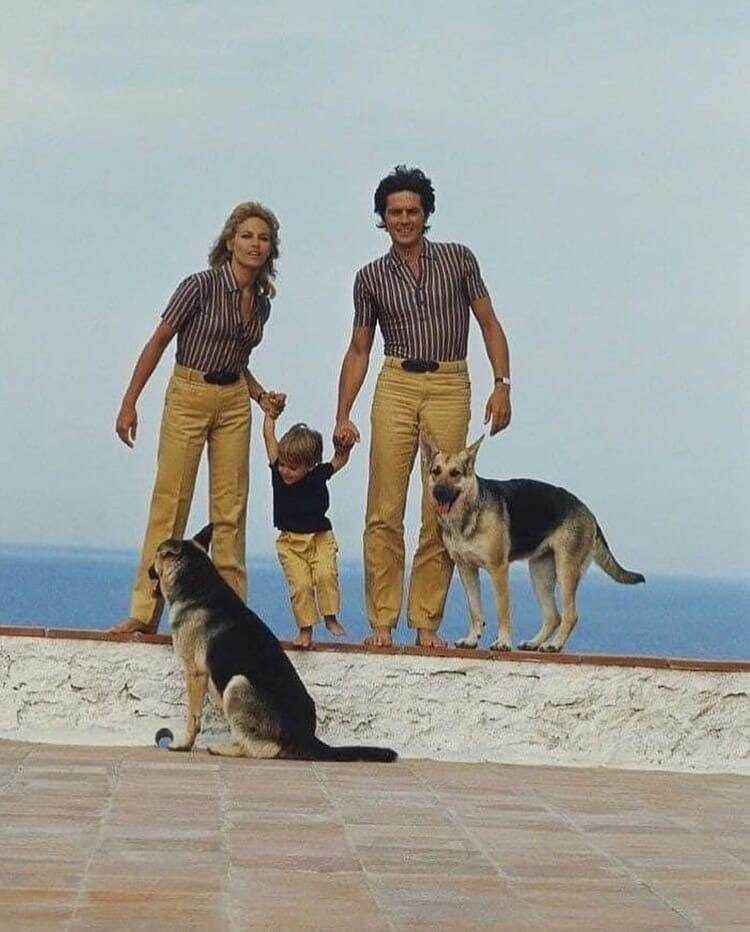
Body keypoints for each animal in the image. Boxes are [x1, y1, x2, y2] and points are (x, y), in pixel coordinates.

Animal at [151, 528, 400, 760]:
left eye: (156, 556)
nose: (147, 570)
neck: (197, 583)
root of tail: (306, 736)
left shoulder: (195, 673)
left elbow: (193, 716)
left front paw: (183, 744)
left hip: (237, 685)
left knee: (263, 748)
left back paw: (224, 748)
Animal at [424, 434, 648, 652]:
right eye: (436, 472)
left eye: (456, 473)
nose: (439, 493)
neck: (468, 512)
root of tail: (587, 511)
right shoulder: (466, 570)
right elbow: (475, 609)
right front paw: (471, 639)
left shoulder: (498, 569)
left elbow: (502, 610)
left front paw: (503, 642)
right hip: (540, 573)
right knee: (553, 616)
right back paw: (534, 643)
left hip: (566, 571)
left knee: (570, 615)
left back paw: (554, 644)